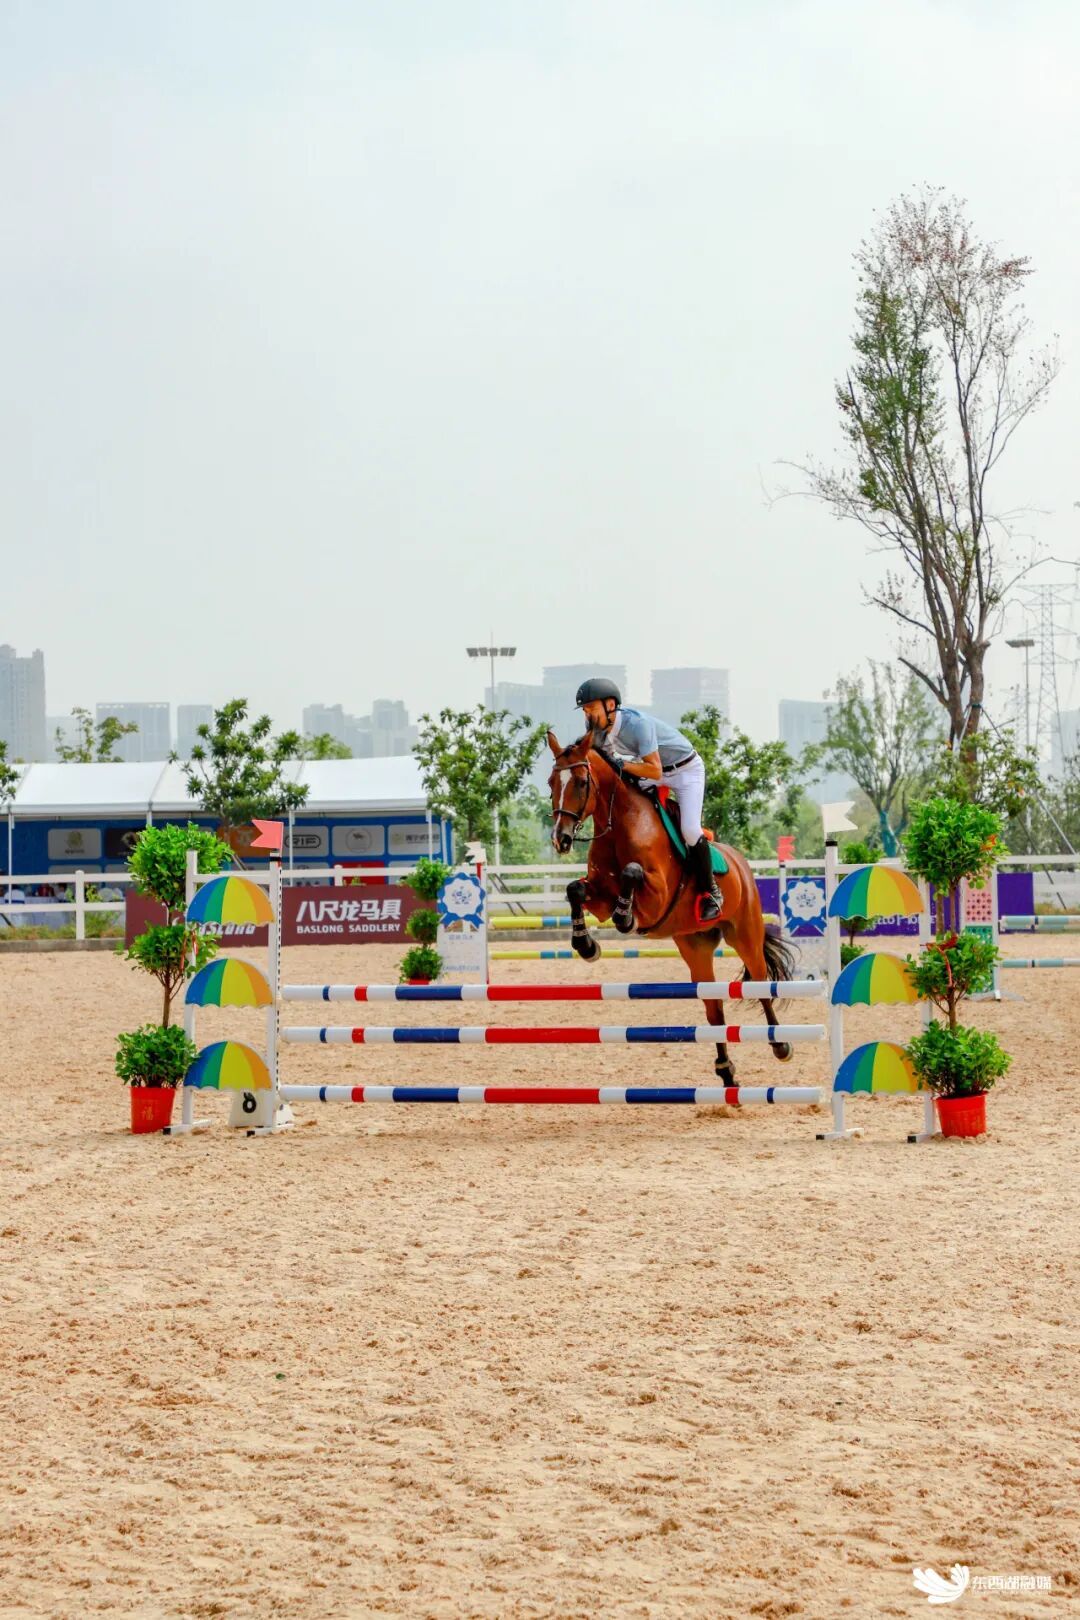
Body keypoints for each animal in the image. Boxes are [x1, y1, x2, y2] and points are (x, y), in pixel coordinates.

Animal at [546, 731, 796, 1082]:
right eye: (551, 782)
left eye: (582, 782)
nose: (561, 839)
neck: (620, 823)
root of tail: (741, 862)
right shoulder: (600, 895)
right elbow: (575, 890)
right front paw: (585, 945)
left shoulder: (657, 896)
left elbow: (632, 873)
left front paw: (625, 918)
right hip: (695, 946)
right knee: (714, 1008)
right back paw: (725, 1071)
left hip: (744, 934)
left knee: (760, 983)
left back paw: (781, 1045)